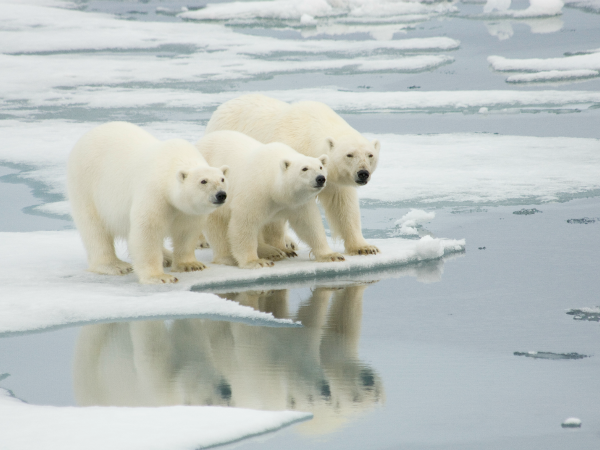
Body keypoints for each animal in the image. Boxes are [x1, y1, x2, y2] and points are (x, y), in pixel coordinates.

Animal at [67, 122, 229, 284]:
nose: (221, 195)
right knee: (94, 229)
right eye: (203, 181)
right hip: (85, 185)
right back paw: (115, 265)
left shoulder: (188, 210)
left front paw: (191, 265)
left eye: (222, 179)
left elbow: (187, 230)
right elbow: (148, 230)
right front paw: (160, 277)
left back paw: (167, 256)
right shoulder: (154, 192)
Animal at [196, 132, 344, 268]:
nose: (320, 178)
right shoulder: (255, 193)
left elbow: (308, 224)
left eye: (320, 167)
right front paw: (255, 261)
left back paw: (279, 250)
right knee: (217, 226)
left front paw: (332, 255)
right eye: (304, 169)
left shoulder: (298, 202)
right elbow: (245, 224)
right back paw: (229, 257)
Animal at [205, 94, 380, 256]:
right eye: (349, 155)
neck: (308, 134)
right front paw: (280, 247)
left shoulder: (332, 179)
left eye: (370, 155)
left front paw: (364, 247)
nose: (363, 173)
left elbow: (343, 205)